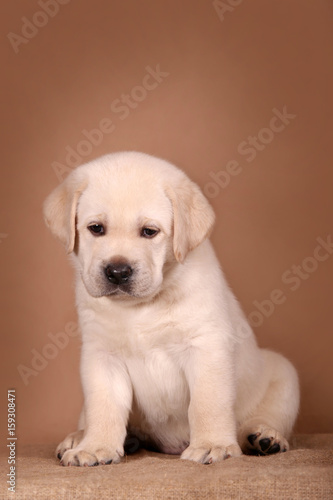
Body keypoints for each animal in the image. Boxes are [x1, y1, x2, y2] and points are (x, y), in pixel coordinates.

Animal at [42, 151, 298, 464]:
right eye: (96, 228)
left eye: (149, 232)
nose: (117, 272)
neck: (142, 306)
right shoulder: (101, 355)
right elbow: (103, 406)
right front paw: (96, 446)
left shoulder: (205, 346)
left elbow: (207, 403)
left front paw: (212, 444)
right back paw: (81, 437)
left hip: (284, 374)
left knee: (266, 416)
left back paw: (264, 437)